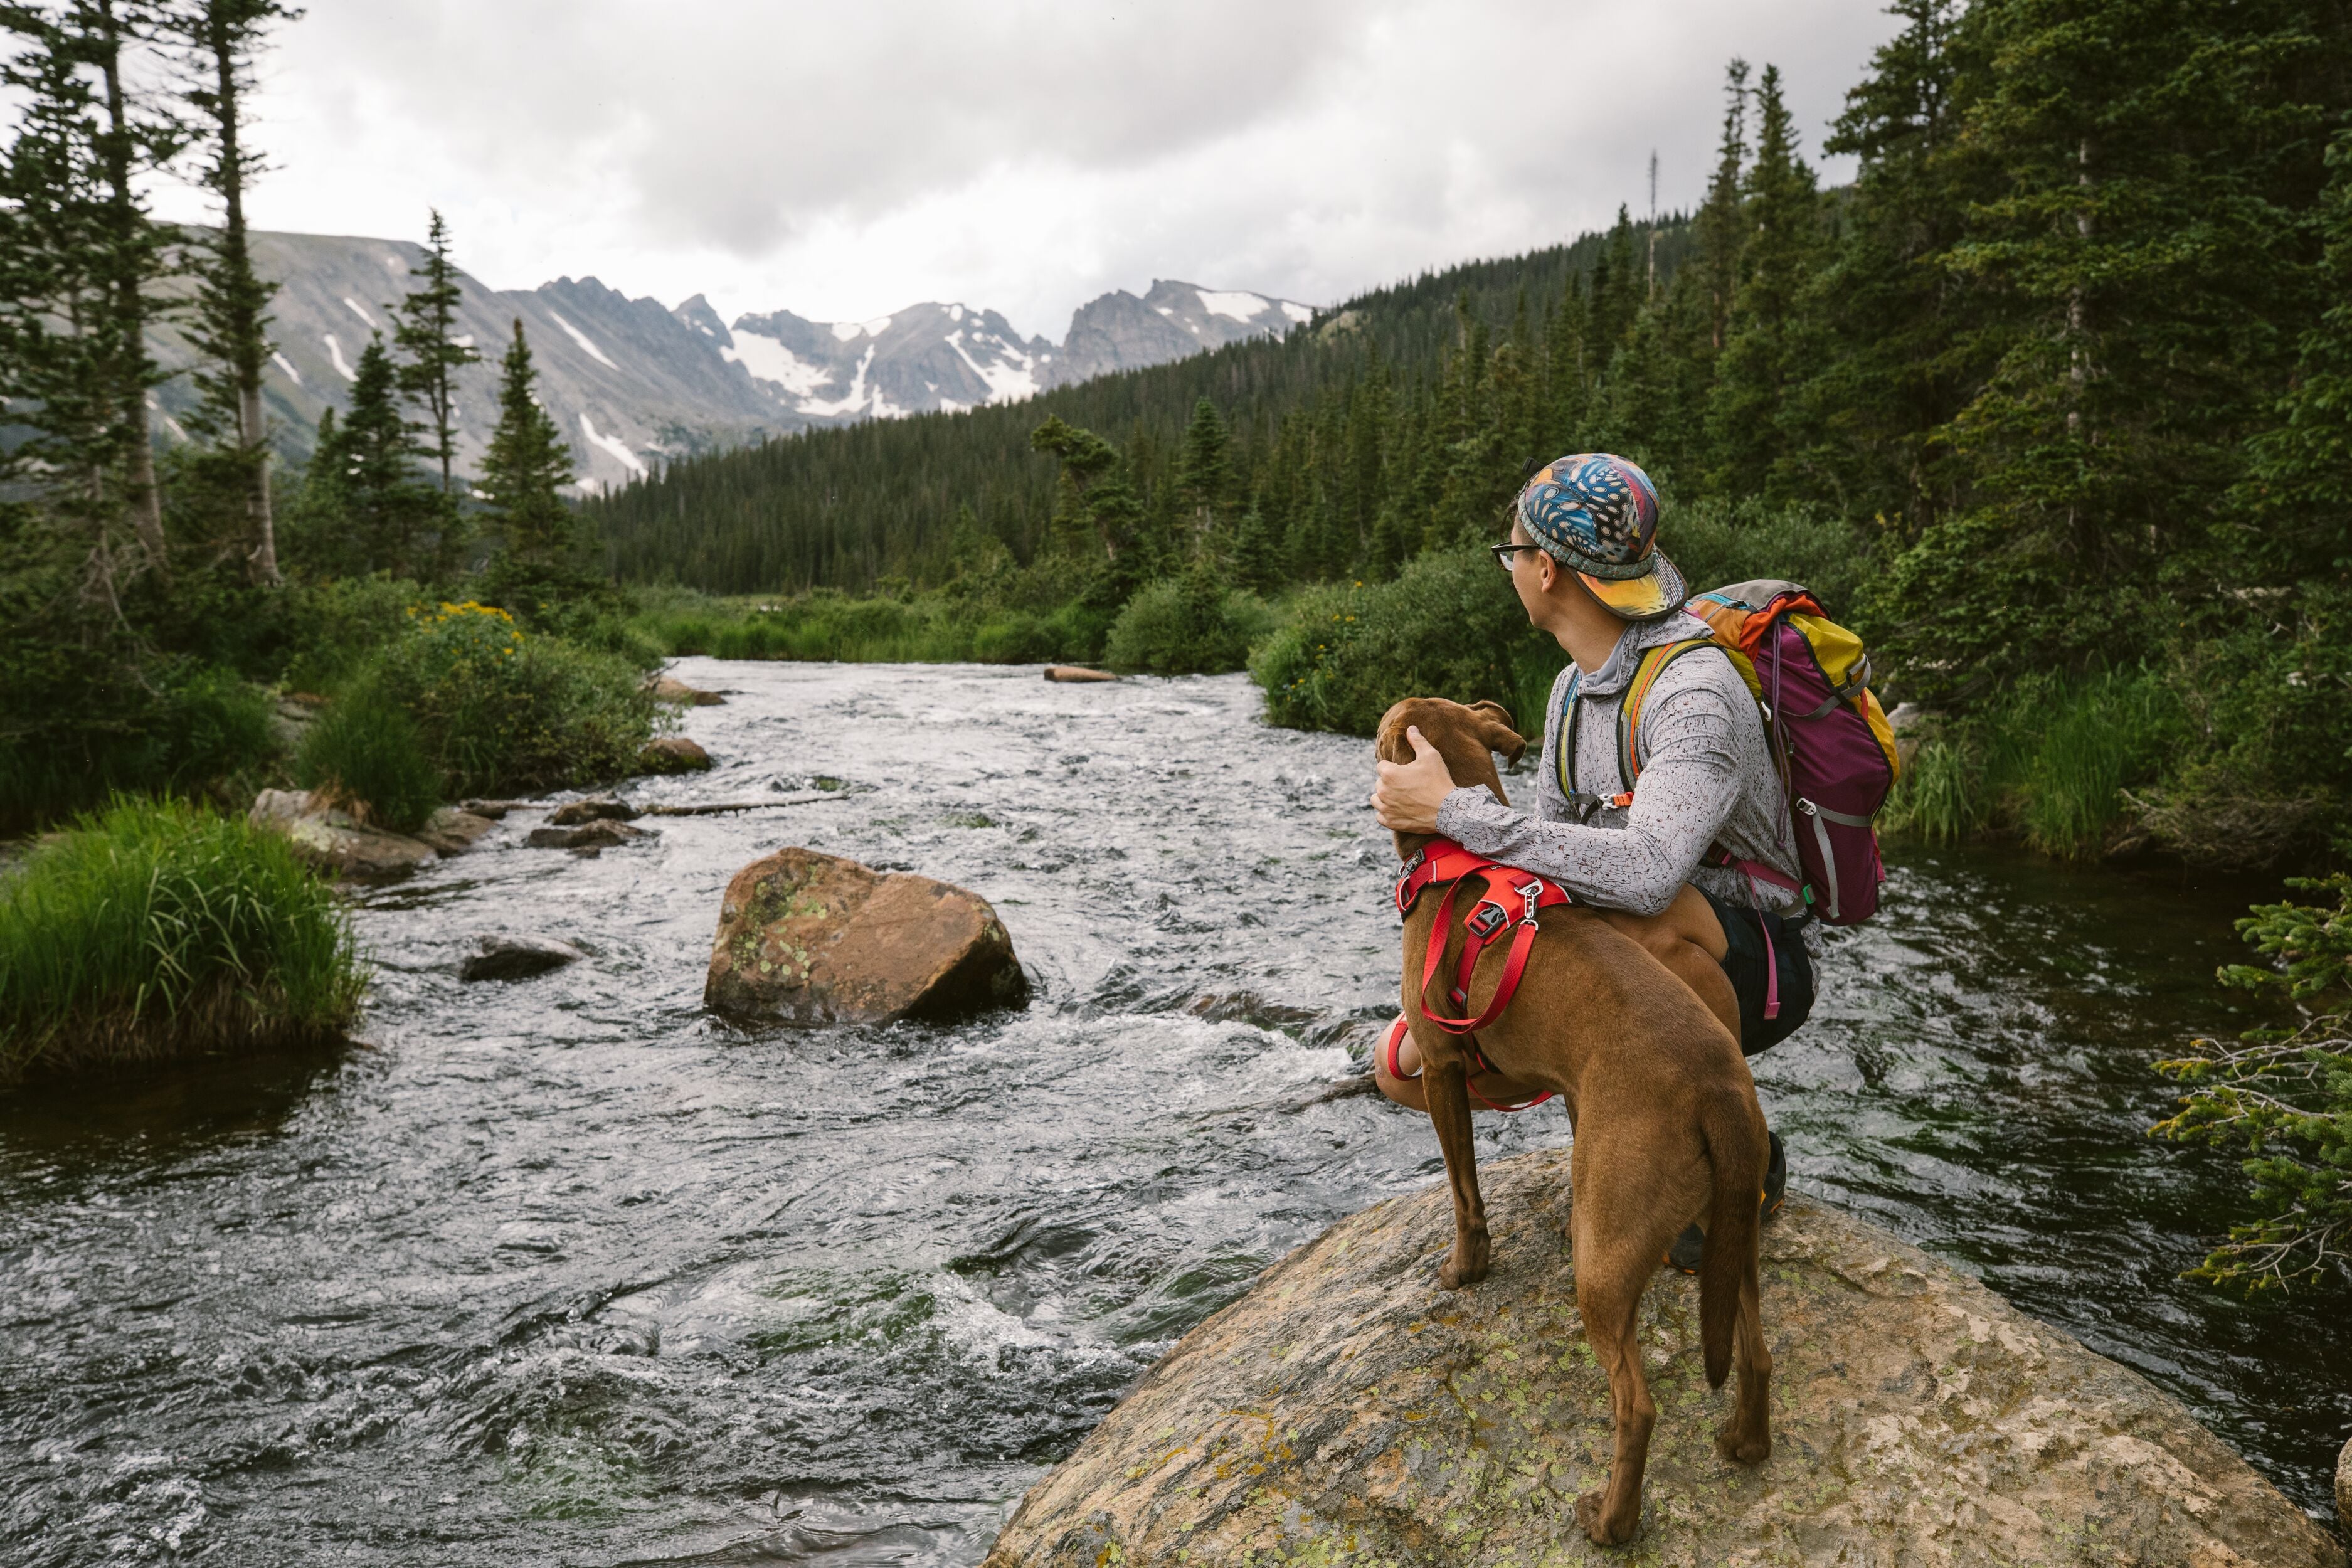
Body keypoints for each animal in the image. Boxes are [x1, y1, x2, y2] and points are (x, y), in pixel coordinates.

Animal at [1374, 696, 1769, 1542]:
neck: (1459, 863)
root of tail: (1719, 1087)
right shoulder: (1569, 1090)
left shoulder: (1443, 1067)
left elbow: (1464, 1193)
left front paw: (1465, 1270)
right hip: (1734, 1234)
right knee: (1754, 1353)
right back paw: (1746, 1444)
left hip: (1606, 1266)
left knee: (1636, 1405)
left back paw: (1610, 1522)